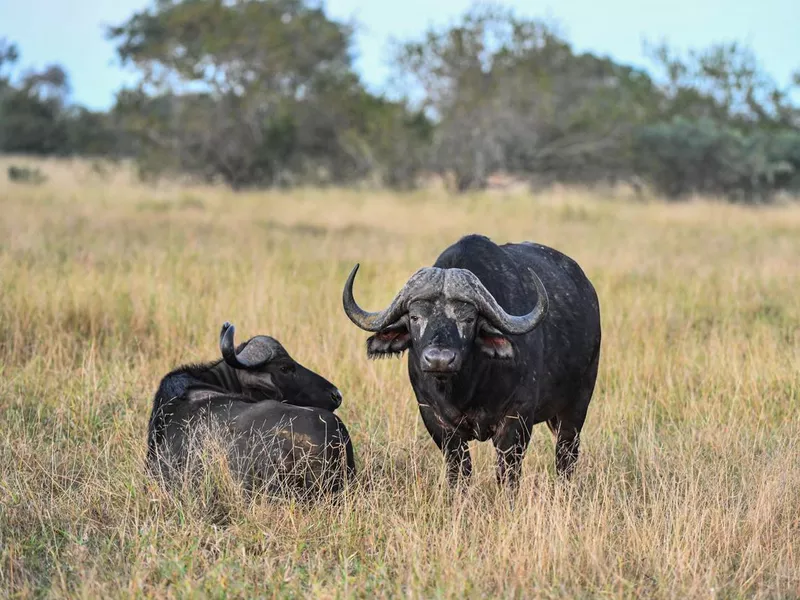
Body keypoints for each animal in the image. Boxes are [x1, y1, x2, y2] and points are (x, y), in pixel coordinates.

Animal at [344, 232, 600, 490]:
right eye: (415, 317)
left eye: (468, 319)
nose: (439, 360)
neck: (467, 388)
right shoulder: (436, 420)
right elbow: (459, 470)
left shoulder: (517, 419)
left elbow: (508, 473)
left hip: (577, 405)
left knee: (566, 455)